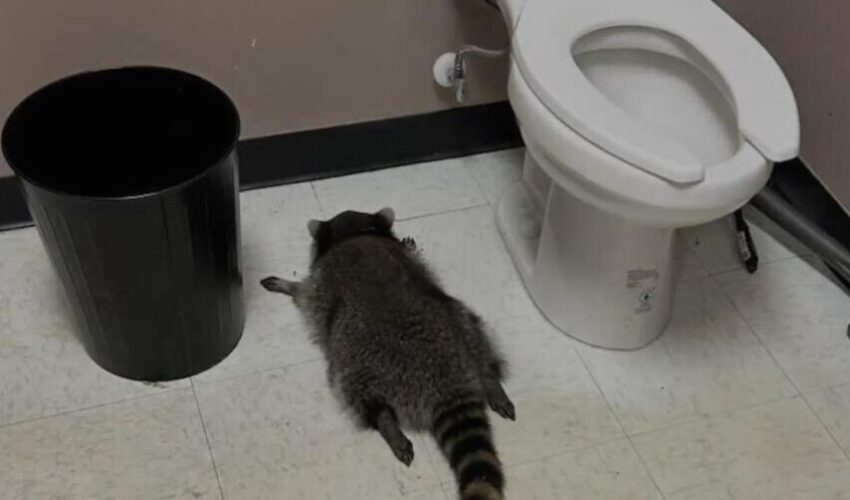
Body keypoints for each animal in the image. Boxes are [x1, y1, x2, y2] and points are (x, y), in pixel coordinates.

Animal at [261, 207, 515, 500]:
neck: (354, 233)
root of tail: (447, 382)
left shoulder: (321, 283)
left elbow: (305, 293)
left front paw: (288, 285)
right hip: (461, 322)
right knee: (478, 338)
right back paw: (490, 380)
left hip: (360, 362)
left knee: (358, 392)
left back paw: (385, 422)